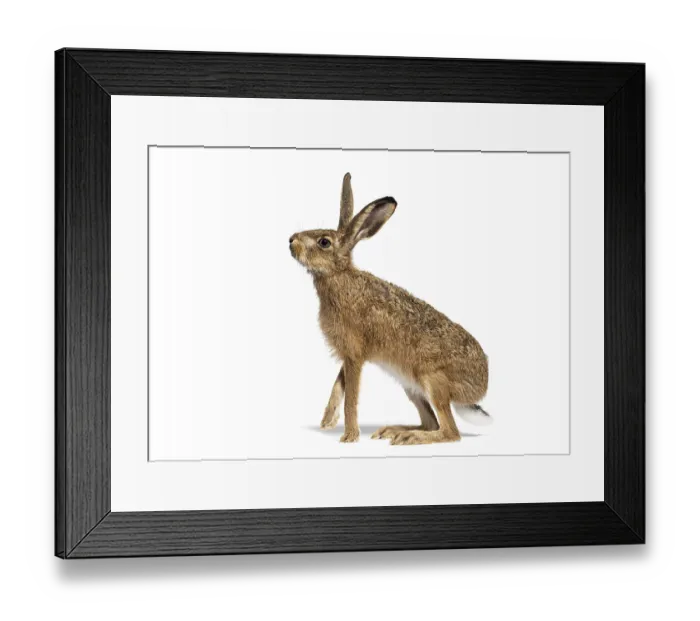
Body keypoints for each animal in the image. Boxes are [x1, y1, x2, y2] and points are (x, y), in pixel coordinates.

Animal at [289, 173, 490, 445]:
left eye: (324, 242)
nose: (291, 240)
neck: (338, 276)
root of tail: (479, 389)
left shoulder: (354, 354)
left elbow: (351, 397)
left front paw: (349, 436)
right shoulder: (348, 354)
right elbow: (338, 386)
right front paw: (327, 421)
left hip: (433, 381)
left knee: (450, 432)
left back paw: (410, 438)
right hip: (411, 387)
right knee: (431, 422)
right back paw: (395, 431)